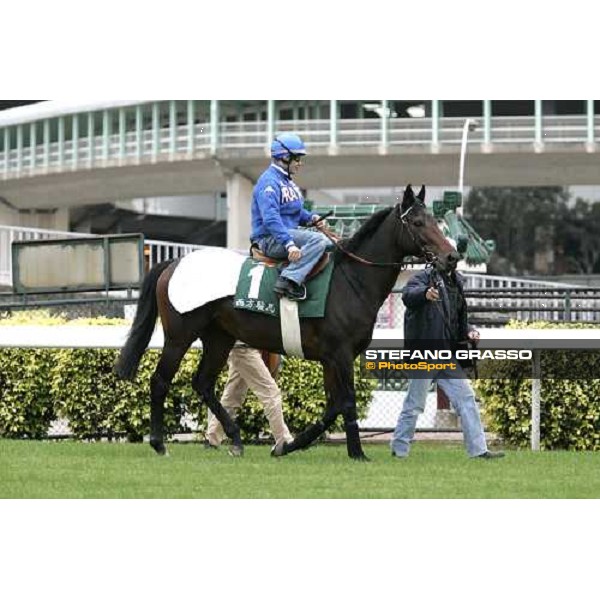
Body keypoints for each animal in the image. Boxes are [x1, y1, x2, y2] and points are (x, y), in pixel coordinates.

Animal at [115, 185, 458, 462]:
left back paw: (235, 439)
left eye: (435, 221)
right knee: (160, 381)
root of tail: (173, 262)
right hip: (179, 335)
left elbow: (333, 405)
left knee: (202, 383)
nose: (451, 257)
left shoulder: (331, 358)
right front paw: (357, 452)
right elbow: (346, 402)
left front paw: (288, 445)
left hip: (220, 338)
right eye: (418, 223)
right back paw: (159, 444)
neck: (351, 280)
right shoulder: (341, 354)